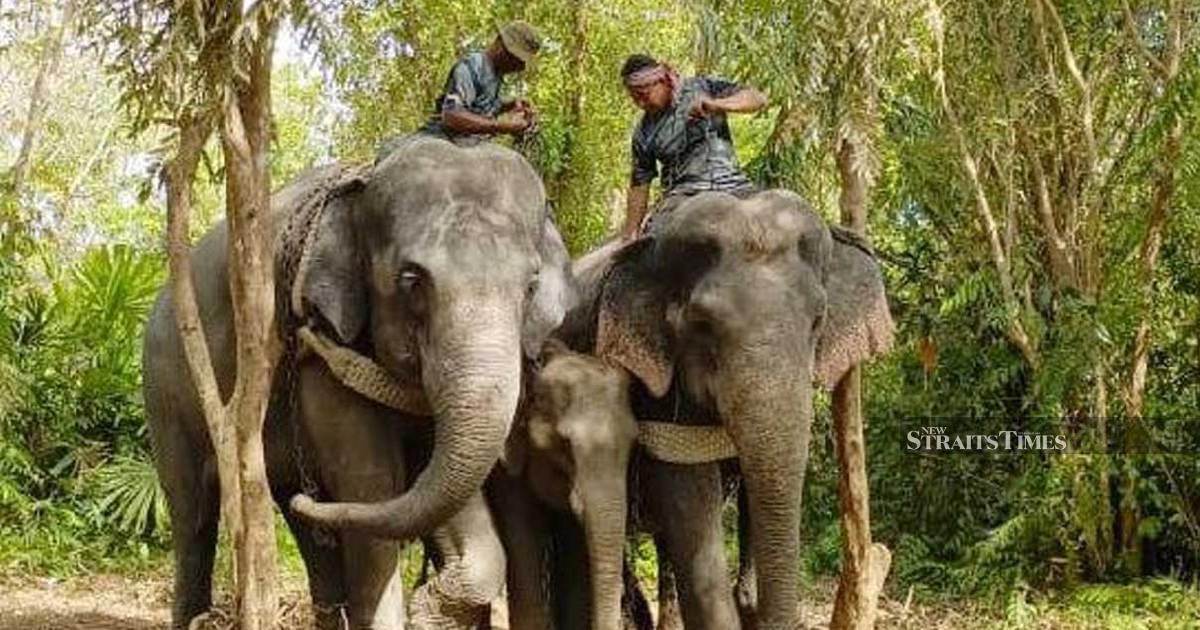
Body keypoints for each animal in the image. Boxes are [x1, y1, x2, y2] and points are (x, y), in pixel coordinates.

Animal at [142, 135, 574, 629]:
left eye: (531, 285)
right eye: (411, 280)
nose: (304, 337)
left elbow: (438, 488)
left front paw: (433, 607)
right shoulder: (323, 354)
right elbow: (373, 484)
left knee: (302, 524)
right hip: (165, 390)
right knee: (192, 515)